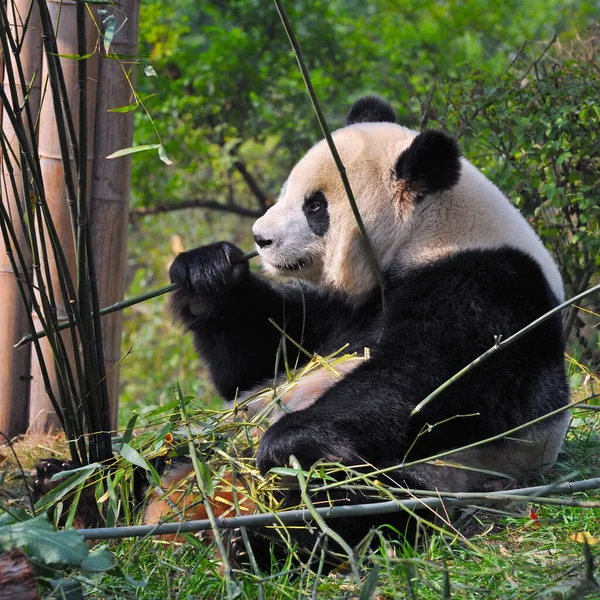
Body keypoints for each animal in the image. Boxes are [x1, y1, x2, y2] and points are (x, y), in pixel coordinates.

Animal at [148, 96, 568, 568]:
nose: (260, 238)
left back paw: (258, 541)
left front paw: (283, 442)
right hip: (211, 437)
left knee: (360, 503)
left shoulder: (486, 285)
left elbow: (425, 382)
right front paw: (207, 275)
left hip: (442, 475)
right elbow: (261, 357)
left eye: (315, 206)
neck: (430, 231)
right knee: (148, 458)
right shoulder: (344, 311)